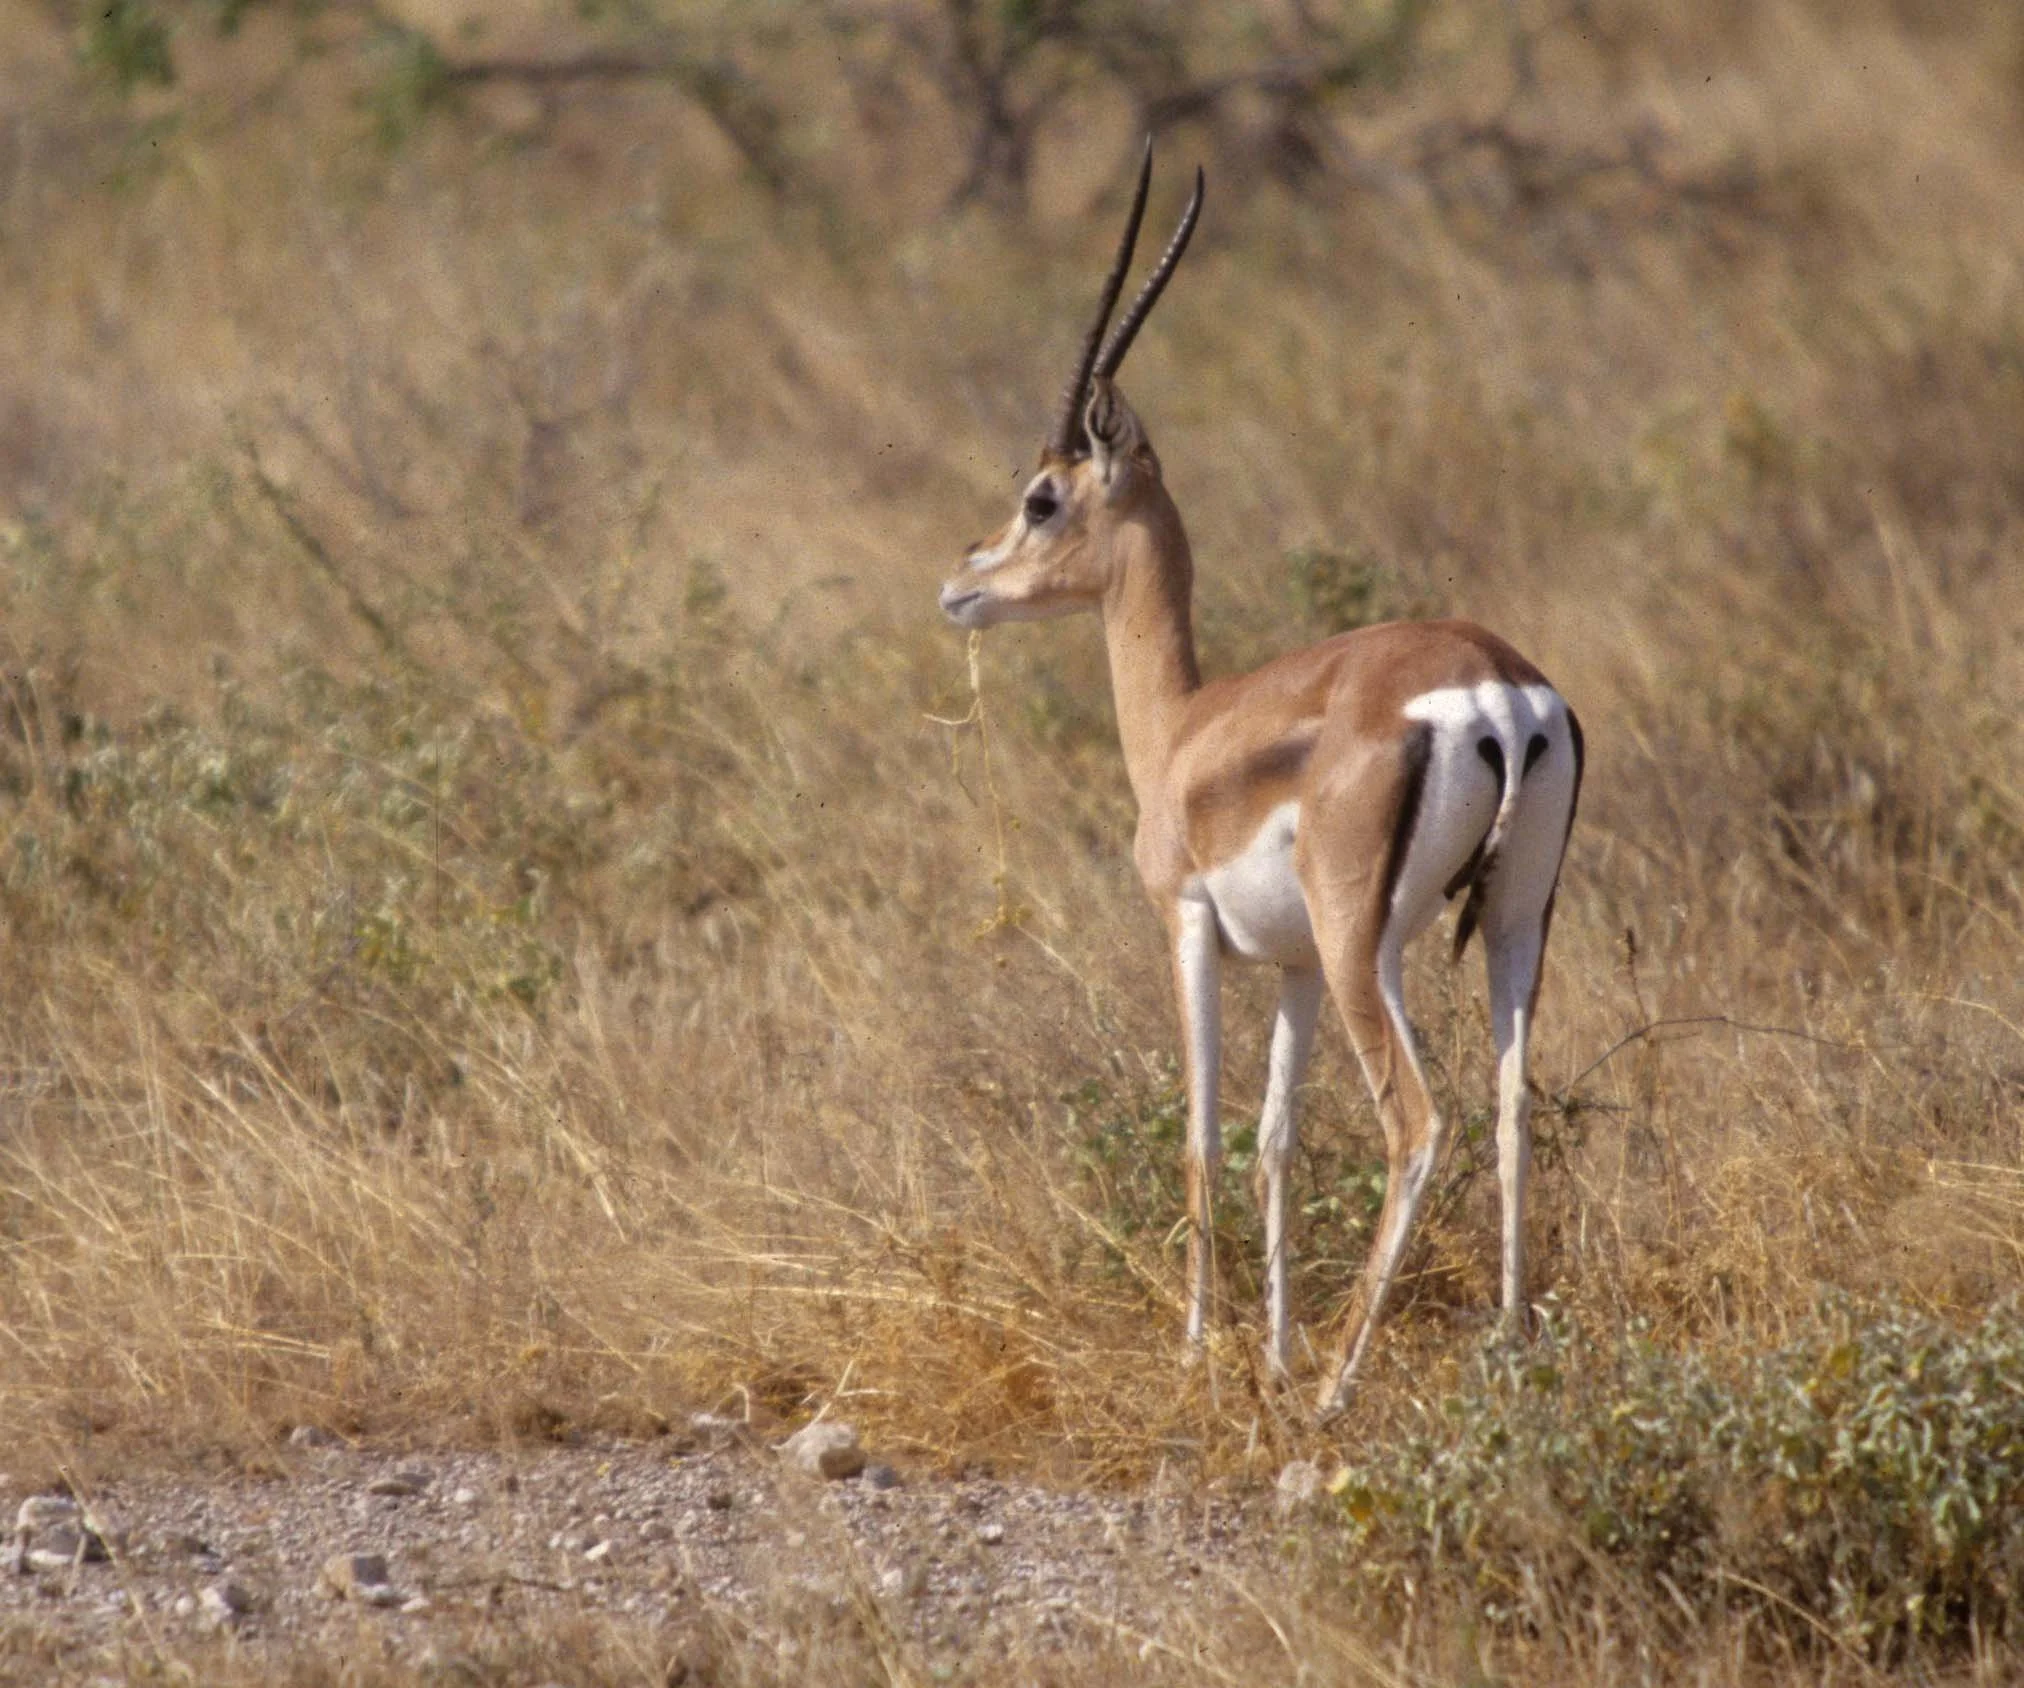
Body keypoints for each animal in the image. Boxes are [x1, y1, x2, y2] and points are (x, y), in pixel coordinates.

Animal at [939, 148, 1583, 1418]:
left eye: (1042, 495)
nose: (963, 583)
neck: (1183, 728)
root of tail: (1492, 686)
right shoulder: (1285, 967)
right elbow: (1275, 1139)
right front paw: (1270, 1351)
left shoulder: (1187, 921)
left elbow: (1200, 1128)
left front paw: (1204, 1348)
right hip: (1509, 920)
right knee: (1510, 1106)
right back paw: (1505, 1346)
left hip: (1359, 944)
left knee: (1417, 1123)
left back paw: (1340, 1380)